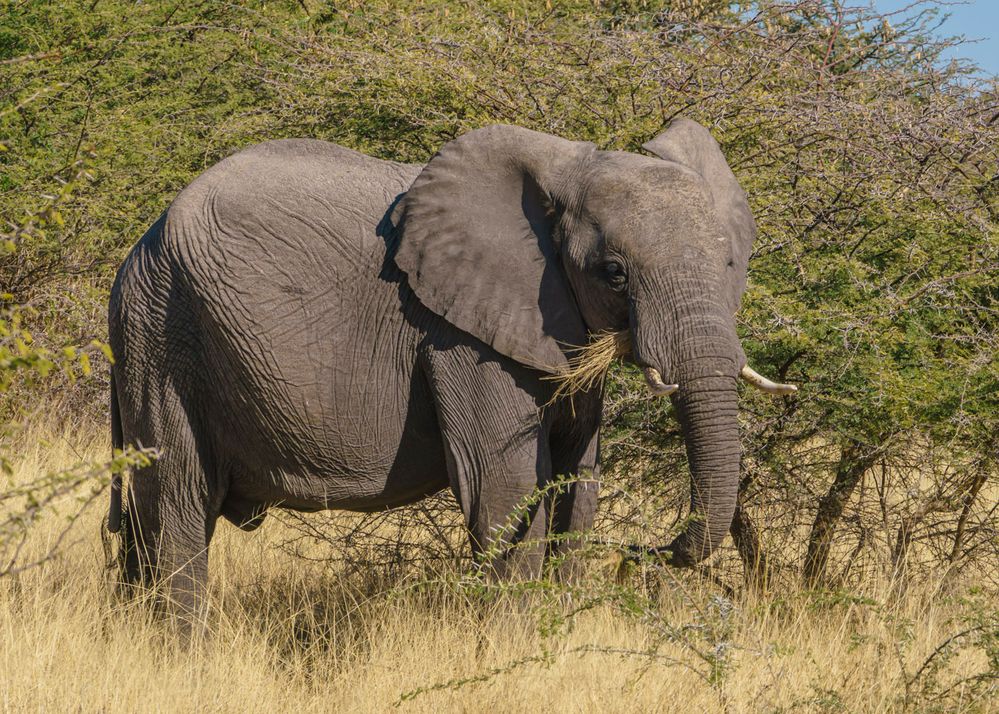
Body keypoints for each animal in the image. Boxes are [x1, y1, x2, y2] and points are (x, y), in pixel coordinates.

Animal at [107, 117, 796, 616]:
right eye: (614, 272)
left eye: (729, 264)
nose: (645, 552)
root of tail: (138, 249)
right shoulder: (462, 337)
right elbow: (508, 490)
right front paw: (516, 651)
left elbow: (578, 485)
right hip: (166, 337)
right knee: (177, 510)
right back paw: (184, 655)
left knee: (144, 526)